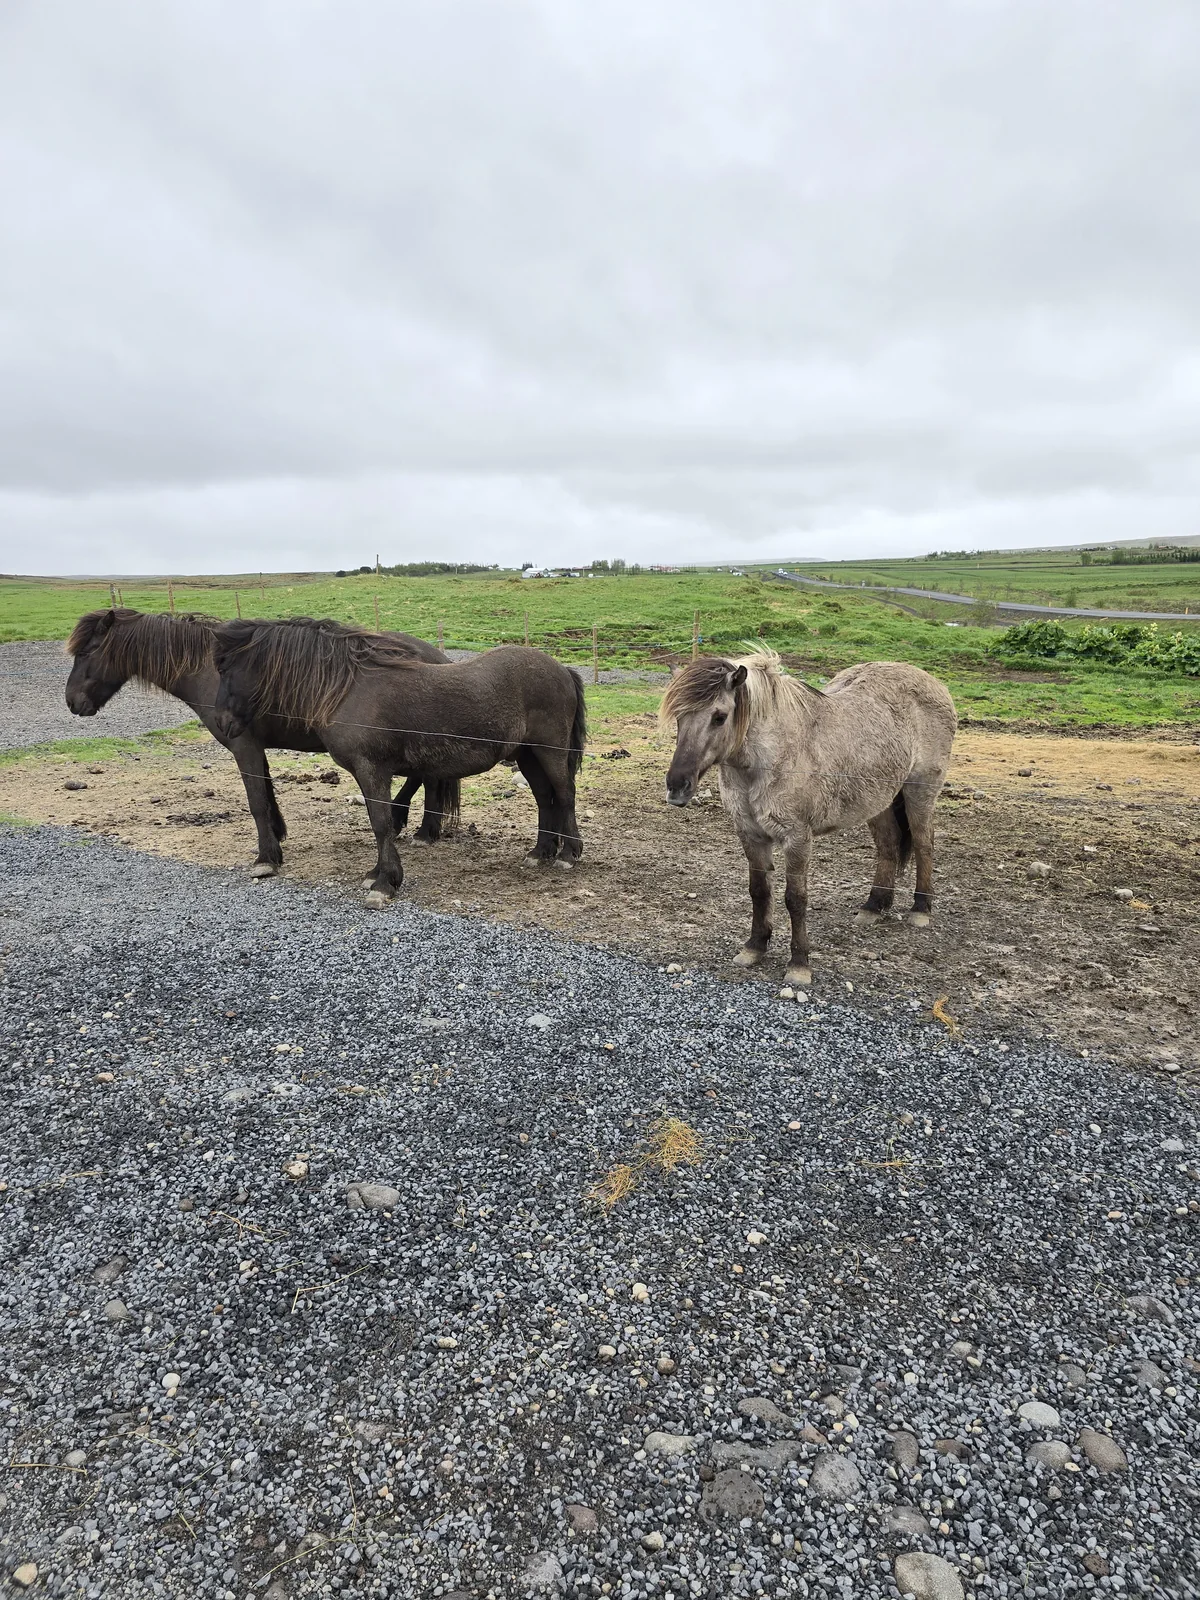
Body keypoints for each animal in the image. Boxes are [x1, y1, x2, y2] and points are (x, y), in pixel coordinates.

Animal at [64, 608, 460, 874]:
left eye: (85, 653)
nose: (72, 702)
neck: (211, 672)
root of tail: (435, 657)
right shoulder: (254, 747)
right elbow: (266, 795)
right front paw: (277, 836)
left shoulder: (243, 746)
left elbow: (255, 800)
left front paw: (267, 857)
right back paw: (422, 828)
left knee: (425, 778)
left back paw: (417, 826)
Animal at [211, 619, 587, 906]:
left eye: (225, 668)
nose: (224, 723)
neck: (348, 688)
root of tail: (562, 669)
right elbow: (380, 821)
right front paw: (377, 874)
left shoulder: (372, 769)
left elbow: (381, 823)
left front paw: (385, 883)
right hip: (528, 755)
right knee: (545, 799)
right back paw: (540, 852)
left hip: (549, 751)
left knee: (564, 794)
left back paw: (568, 855)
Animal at [661, 648, 957, 985]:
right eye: (679, 717)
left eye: (719, 716)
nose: (677, 786)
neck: (772, 758)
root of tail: (934, 683)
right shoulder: (750, 833)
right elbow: (759, 891)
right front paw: (754, 947)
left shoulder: (797, 838)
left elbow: (795, 898)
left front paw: (799, 964)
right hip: (878, 801)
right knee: (889, 845)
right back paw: (874, 905)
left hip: (919, 793)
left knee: (923, 844)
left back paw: (921, 908)